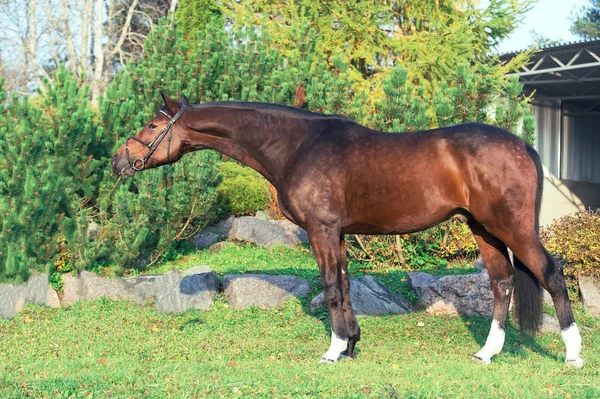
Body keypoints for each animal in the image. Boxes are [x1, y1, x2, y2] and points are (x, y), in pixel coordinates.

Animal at [110, 93, 584, 368]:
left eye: (153, 126)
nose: (118, 161)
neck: (298, 146)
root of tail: (523, 145)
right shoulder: (337, 233)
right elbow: (344, 283)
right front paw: (352, 344)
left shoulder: (321, 229)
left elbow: (331, 287)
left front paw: (334, 350)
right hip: (483, 229)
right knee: (502, 282)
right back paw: (487, 352)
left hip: (511, 227)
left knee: (552, 274)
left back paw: (573, 355)